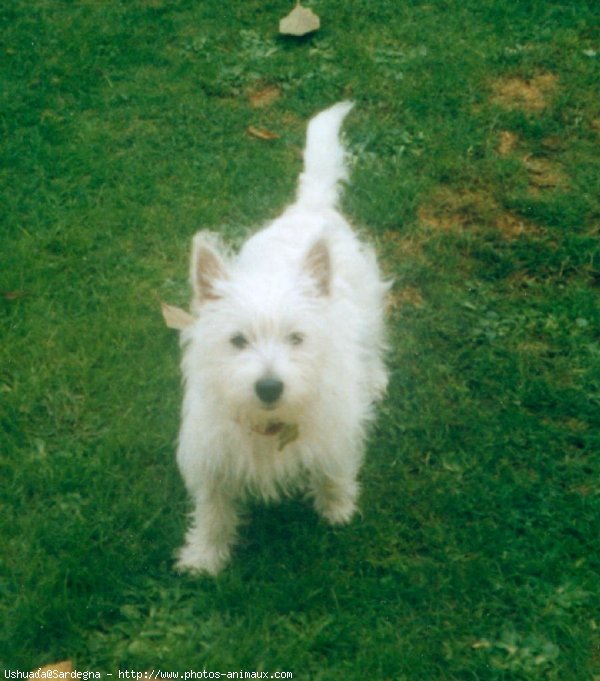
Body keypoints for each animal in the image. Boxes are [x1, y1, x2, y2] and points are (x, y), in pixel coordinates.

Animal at [173, 102, 390, 572]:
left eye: (296, 338)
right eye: (238, 340)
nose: (269, 387)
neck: (269, 428)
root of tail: (311, 206)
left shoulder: (333, 433)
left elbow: (335, 472)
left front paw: (338, 509)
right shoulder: (213, 456)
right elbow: (213, 509)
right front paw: (204, 557)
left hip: (369, 305)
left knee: (375, 344)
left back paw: (376, 378)